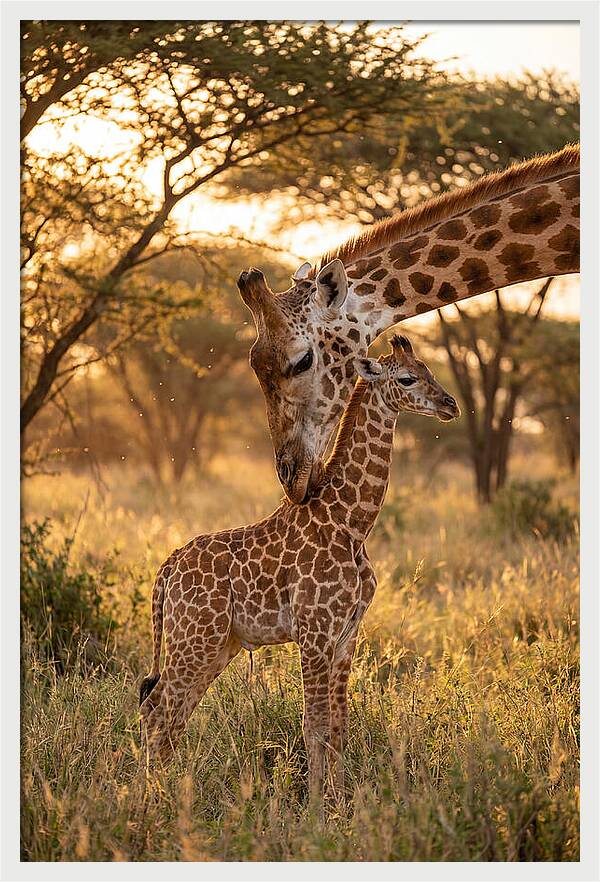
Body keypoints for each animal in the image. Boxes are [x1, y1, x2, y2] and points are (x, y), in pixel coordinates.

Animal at [139, 335, 460, 800]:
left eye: (429, 370)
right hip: (194, 638)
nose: (450, 404)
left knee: (171, 712)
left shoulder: (346, 635)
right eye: (407, 378)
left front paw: (341, 802)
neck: (351, 522)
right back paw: (150, 801)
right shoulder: (314, 632)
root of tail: (167, 570)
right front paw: (314, 807)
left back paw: (166, 793)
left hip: (217, 644)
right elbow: (314, 725)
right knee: (157, 710)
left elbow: (339, 726)